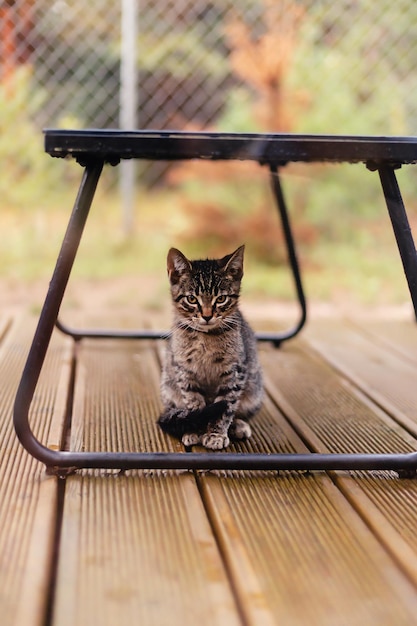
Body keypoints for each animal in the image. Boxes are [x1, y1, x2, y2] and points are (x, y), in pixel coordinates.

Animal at [158, 245, 262, 448]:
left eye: (221, 299)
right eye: (191, 299)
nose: (207, 316)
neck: (205, 339)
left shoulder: (234, 372)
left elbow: (225, 406)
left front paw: (216, 434)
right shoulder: (184, 371)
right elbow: (194, 403)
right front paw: (196, 429)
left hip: (254, 391)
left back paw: (238, 425)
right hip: (168, 385)